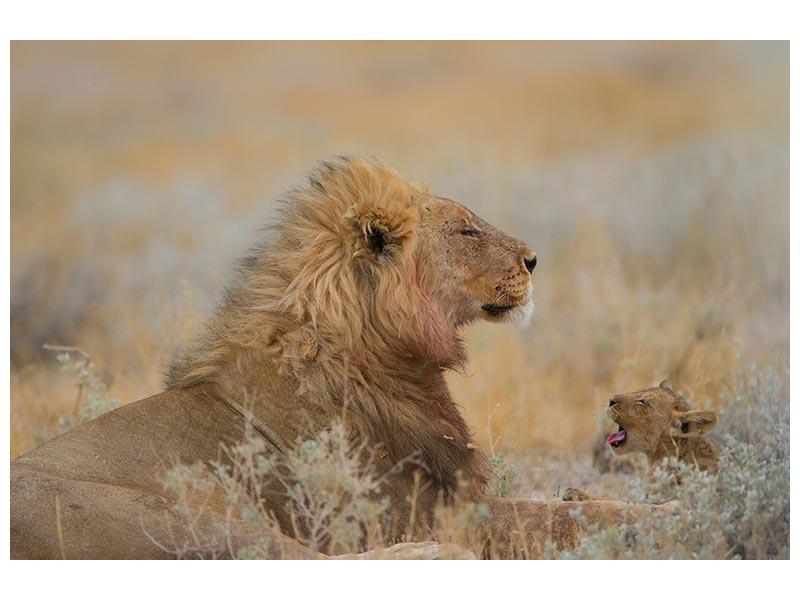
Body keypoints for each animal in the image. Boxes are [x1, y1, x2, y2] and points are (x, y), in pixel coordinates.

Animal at [10, 156, 656, 556]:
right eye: (466, 230)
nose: (533, 260)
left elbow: (569, 507)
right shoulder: (424, 509)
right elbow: (562, 518)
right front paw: (660, 512)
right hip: (200, 520)